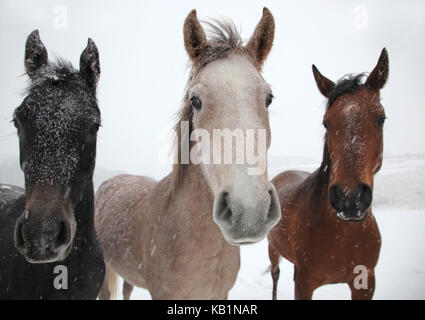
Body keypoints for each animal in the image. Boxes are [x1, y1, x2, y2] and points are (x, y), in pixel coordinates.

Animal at [266, 48, 390, 300]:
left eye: (380, 118)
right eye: (326, 123)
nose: (349, 199)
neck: (343, 236)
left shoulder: (365, 283)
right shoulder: (304, 283)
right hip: (273, 250)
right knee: (275, 275)